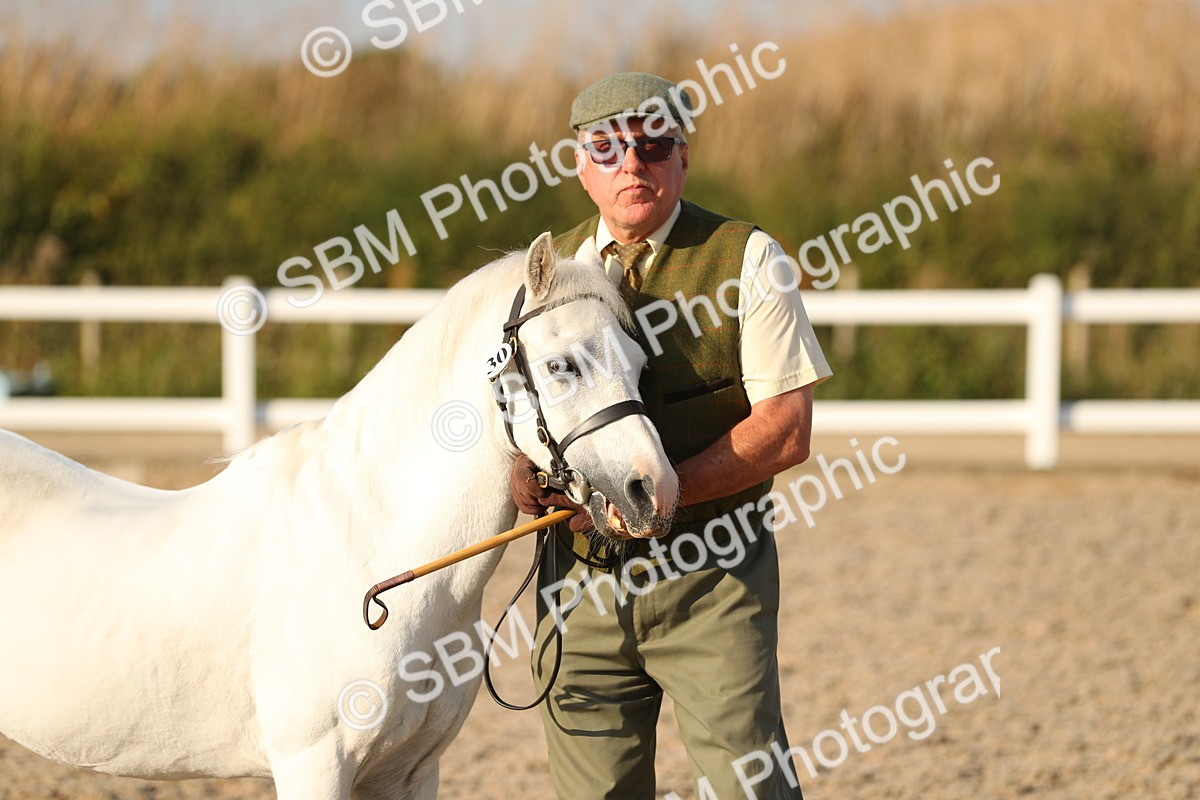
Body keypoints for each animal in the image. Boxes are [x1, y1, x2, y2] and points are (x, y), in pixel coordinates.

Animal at [0, 232, 678, 799]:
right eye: (564, 365)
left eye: (640, 364)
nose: (655, 490)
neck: (375, 558)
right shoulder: (314, 766)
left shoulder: (412, 772)